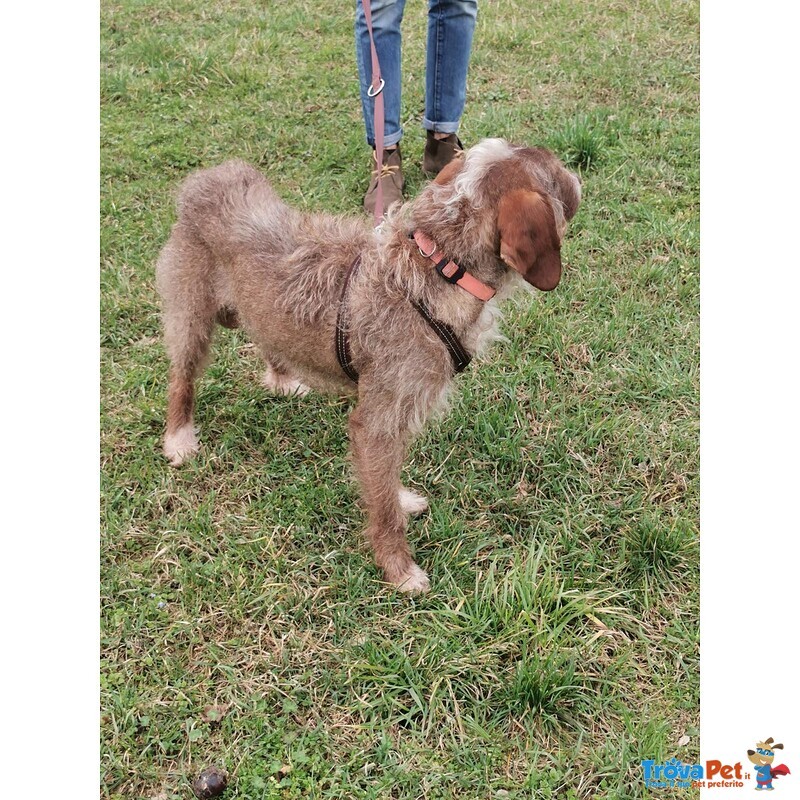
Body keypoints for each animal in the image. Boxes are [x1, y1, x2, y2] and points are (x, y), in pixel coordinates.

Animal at [156, 138, 580, 592]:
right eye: (558, 174)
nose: (579, 179)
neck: (441, 267)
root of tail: (206, 179)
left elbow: (386, 481)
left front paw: (401, 498)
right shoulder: (377, 421)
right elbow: (382, 504)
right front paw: (398, 568)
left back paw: (281, 378)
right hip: (192, 314)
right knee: (181, 378)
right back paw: (179, 437)